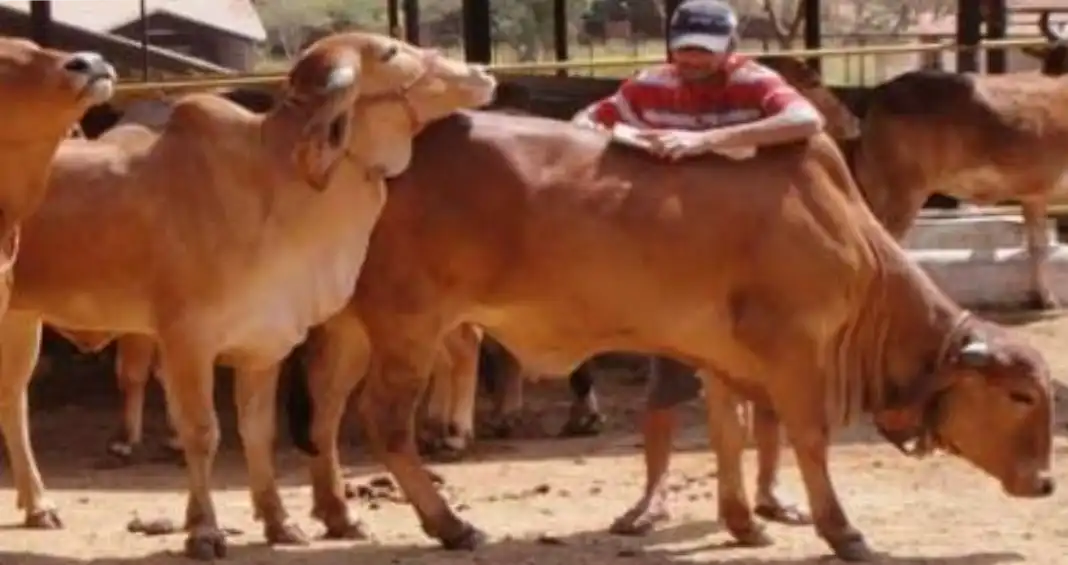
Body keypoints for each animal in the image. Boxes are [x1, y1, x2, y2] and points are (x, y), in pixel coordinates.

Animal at [0, 32, 497, 560]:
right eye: (389, 53)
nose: (480, 72)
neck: (274, 186)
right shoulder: (187, 342)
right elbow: (202, 433)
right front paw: (204, 530)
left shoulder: (265, 344)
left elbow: (258, 432)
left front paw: (279, 522)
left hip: (21, 321)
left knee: (12, 400)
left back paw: (38, 505)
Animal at [283, 106, 1054, 561]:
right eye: (1020, 397)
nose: (1047, 482)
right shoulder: (797, 352)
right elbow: (808, 439)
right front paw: (843, 530)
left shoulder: (721, 353)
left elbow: (726, 434)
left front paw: (745, 520)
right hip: (408, 324)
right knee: (384, 422)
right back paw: (449, 524)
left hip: (351, 323)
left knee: (323, 410)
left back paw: (336, 513)